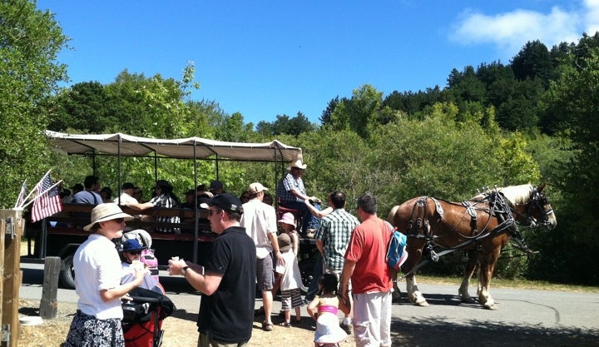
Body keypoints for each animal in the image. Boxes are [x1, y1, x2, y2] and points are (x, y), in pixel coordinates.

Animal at [390, 184, 556, 312]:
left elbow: (471, 271)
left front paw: (469, 295)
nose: (553, 222)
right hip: (416, 244)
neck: (499, 212)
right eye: (544, 200)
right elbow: (487, 273)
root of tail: (400, 207)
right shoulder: (493, 250)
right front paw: (487, 299)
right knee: (410, 269)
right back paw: (417, 297)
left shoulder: (477, 249)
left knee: (394, 266)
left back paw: (396, 293)